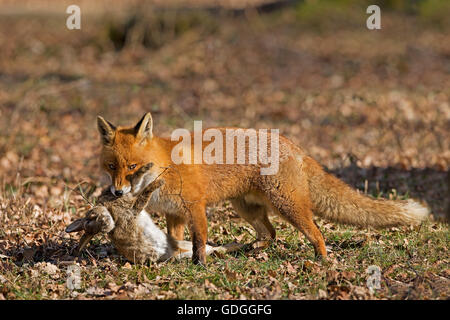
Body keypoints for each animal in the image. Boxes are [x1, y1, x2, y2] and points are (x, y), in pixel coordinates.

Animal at [97, 112, 428, 264]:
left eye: (133, 166)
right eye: (112, 167)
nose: (116, 193)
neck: (164, 167)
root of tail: (294, 145)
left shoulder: (195, 207)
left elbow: (200, 240)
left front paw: (199, 264)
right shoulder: (175, 213)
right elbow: (175, 241)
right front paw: (172, 260)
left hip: (288, 207)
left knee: (316, 232)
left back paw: (322, 260)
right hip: (247, 208)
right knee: (270, 233)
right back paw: (252, 249)